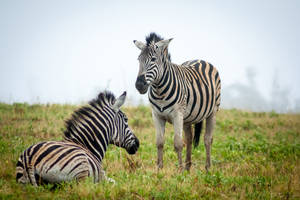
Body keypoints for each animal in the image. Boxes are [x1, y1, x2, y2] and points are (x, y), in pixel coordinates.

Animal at [134, 32, 220, 170]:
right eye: (139, 59)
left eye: (153, 59)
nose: (139, 85)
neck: (160, 91)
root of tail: (200, 60)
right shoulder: (156, 115)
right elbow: (159, 142)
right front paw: (159, 169)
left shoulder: (177, 114)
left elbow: (178, 143)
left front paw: (179, 171)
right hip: (188, 118)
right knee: (189, 138)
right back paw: (188, 167)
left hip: (212, 111)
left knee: (208, 139)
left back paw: (207, 168)